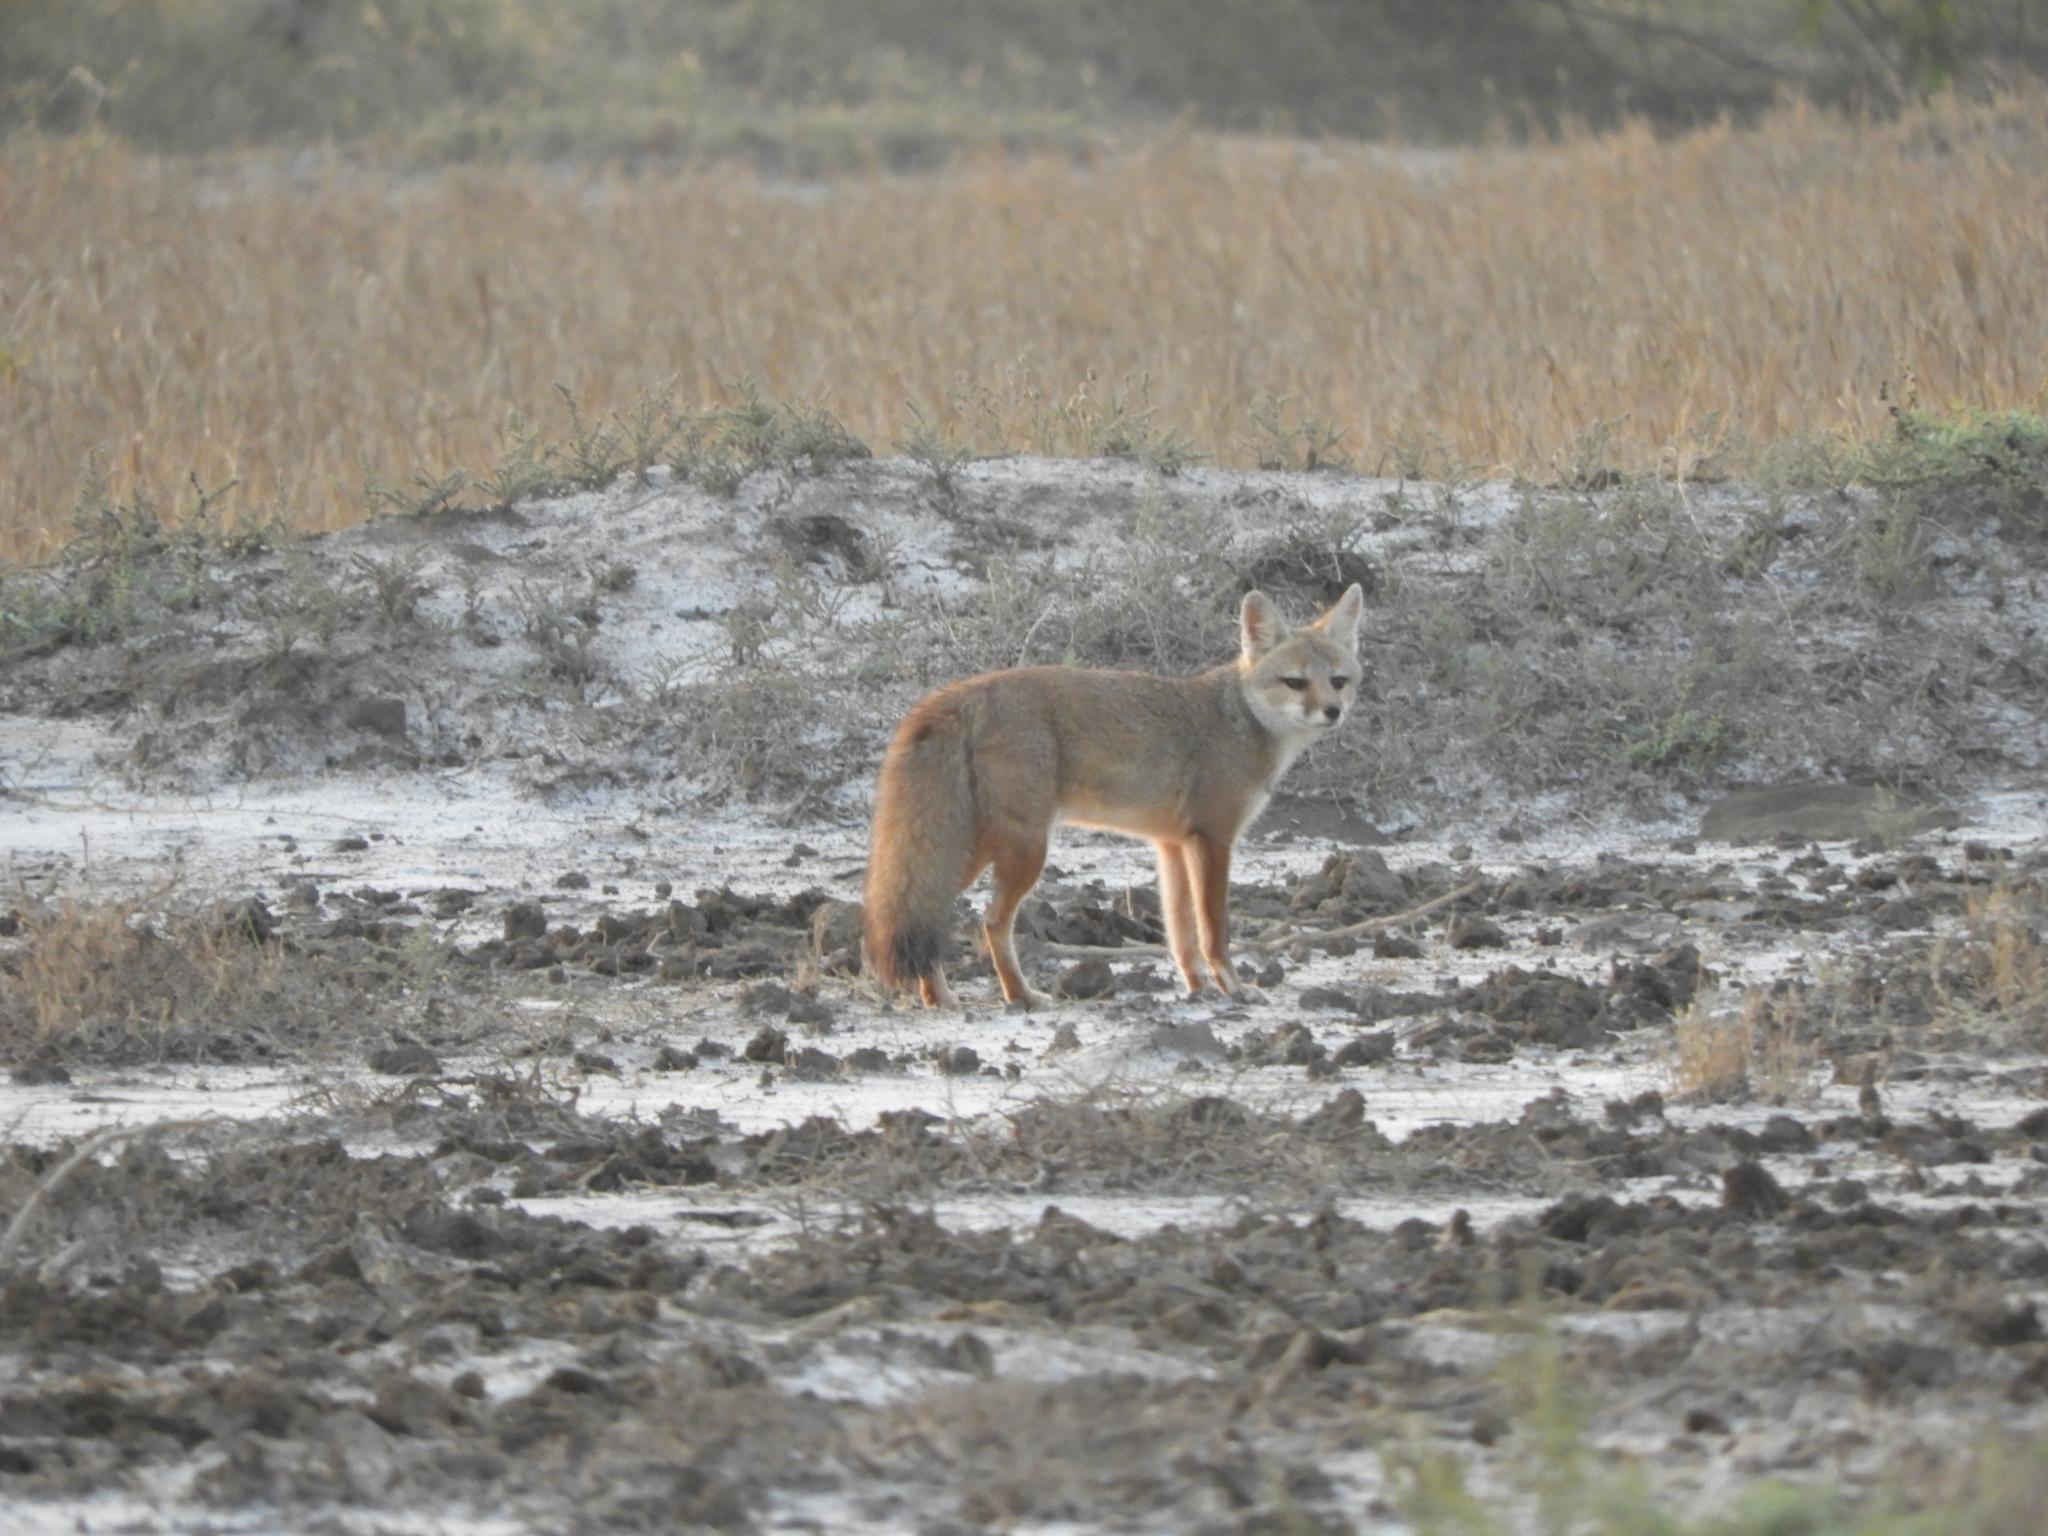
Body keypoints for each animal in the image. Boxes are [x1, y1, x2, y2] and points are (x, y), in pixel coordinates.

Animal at [863, 582, 1365, 1009]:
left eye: (1339, 681)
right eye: (1296, 683)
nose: (1333, 712)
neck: (1242, 719)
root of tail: (961, 692)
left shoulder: (1172, 845)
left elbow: (1181, 935)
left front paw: (1199, 989)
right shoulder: (1214, 839)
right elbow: (1214, 931)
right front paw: (1234, 988)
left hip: (977, 850)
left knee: (926, 914)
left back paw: (939, 996)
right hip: (1022, 851)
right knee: (987, 921)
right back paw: (1018, 995)